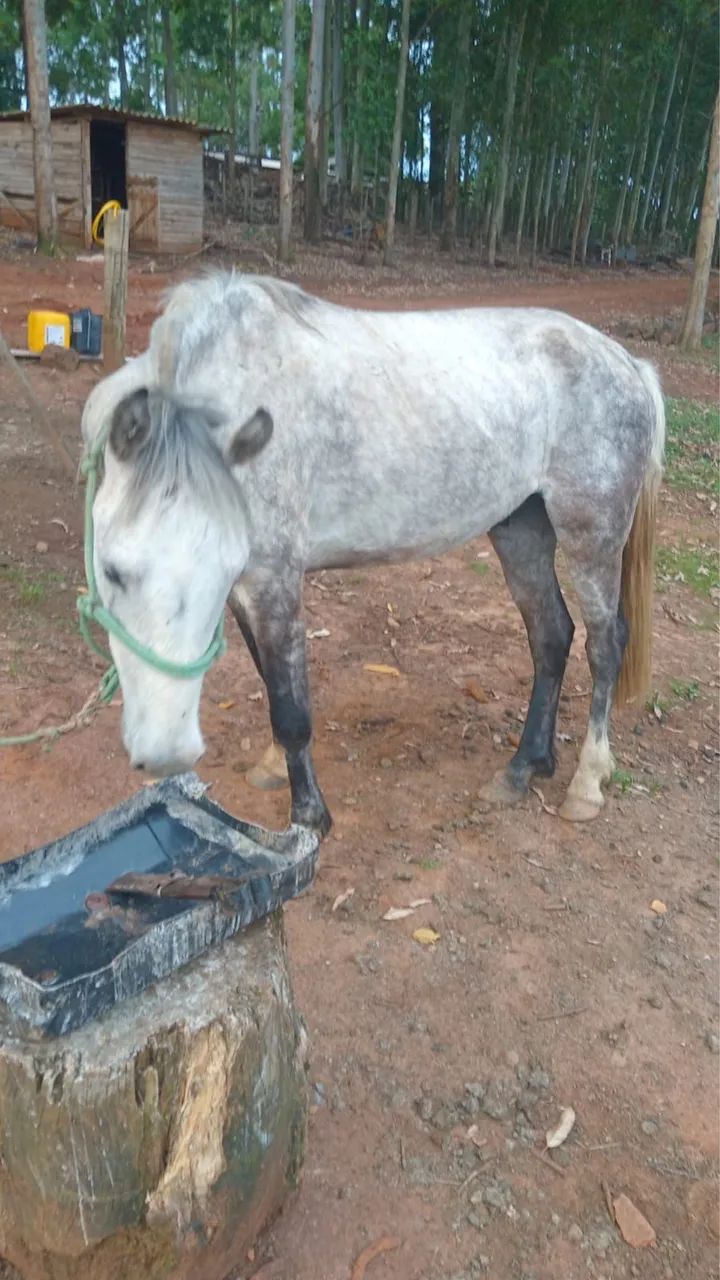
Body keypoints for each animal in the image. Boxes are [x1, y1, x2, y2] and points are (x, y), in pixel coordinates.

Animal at [81, 273, 664, 836]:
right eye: (112, 572)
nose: (166, 754)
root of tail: (627, 364)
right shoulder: (250, 586)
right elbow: (271, 682)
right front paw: (274, 769)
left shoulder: (273, 579)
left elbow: (291, 709)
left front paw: (309, 819)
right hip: (522, 529)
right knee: (550, 635)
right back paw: (524, 767)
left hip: (593, 536)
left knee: (604, 644)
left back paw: (586, 782)